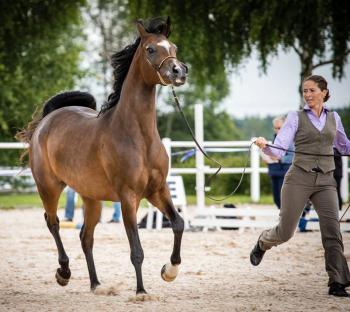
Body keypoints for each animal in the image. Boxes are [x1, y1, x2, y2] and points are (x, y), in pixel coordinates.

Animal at [16, 17, 187, 294]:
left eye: (173, 47)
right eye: (150, 49)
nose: (179, 71)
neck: (138, 136)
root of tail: (47, 121)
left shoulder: (158, 190)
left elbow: (178, 223)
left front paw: (169, 271)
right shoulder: (128, 197)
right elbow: (136, 250)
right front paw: (141, 292)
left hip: (91, 197)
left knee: (85, 237)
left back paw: (96, 284)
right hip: (49, 187)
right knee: (53, 222)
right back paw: (63, 272)